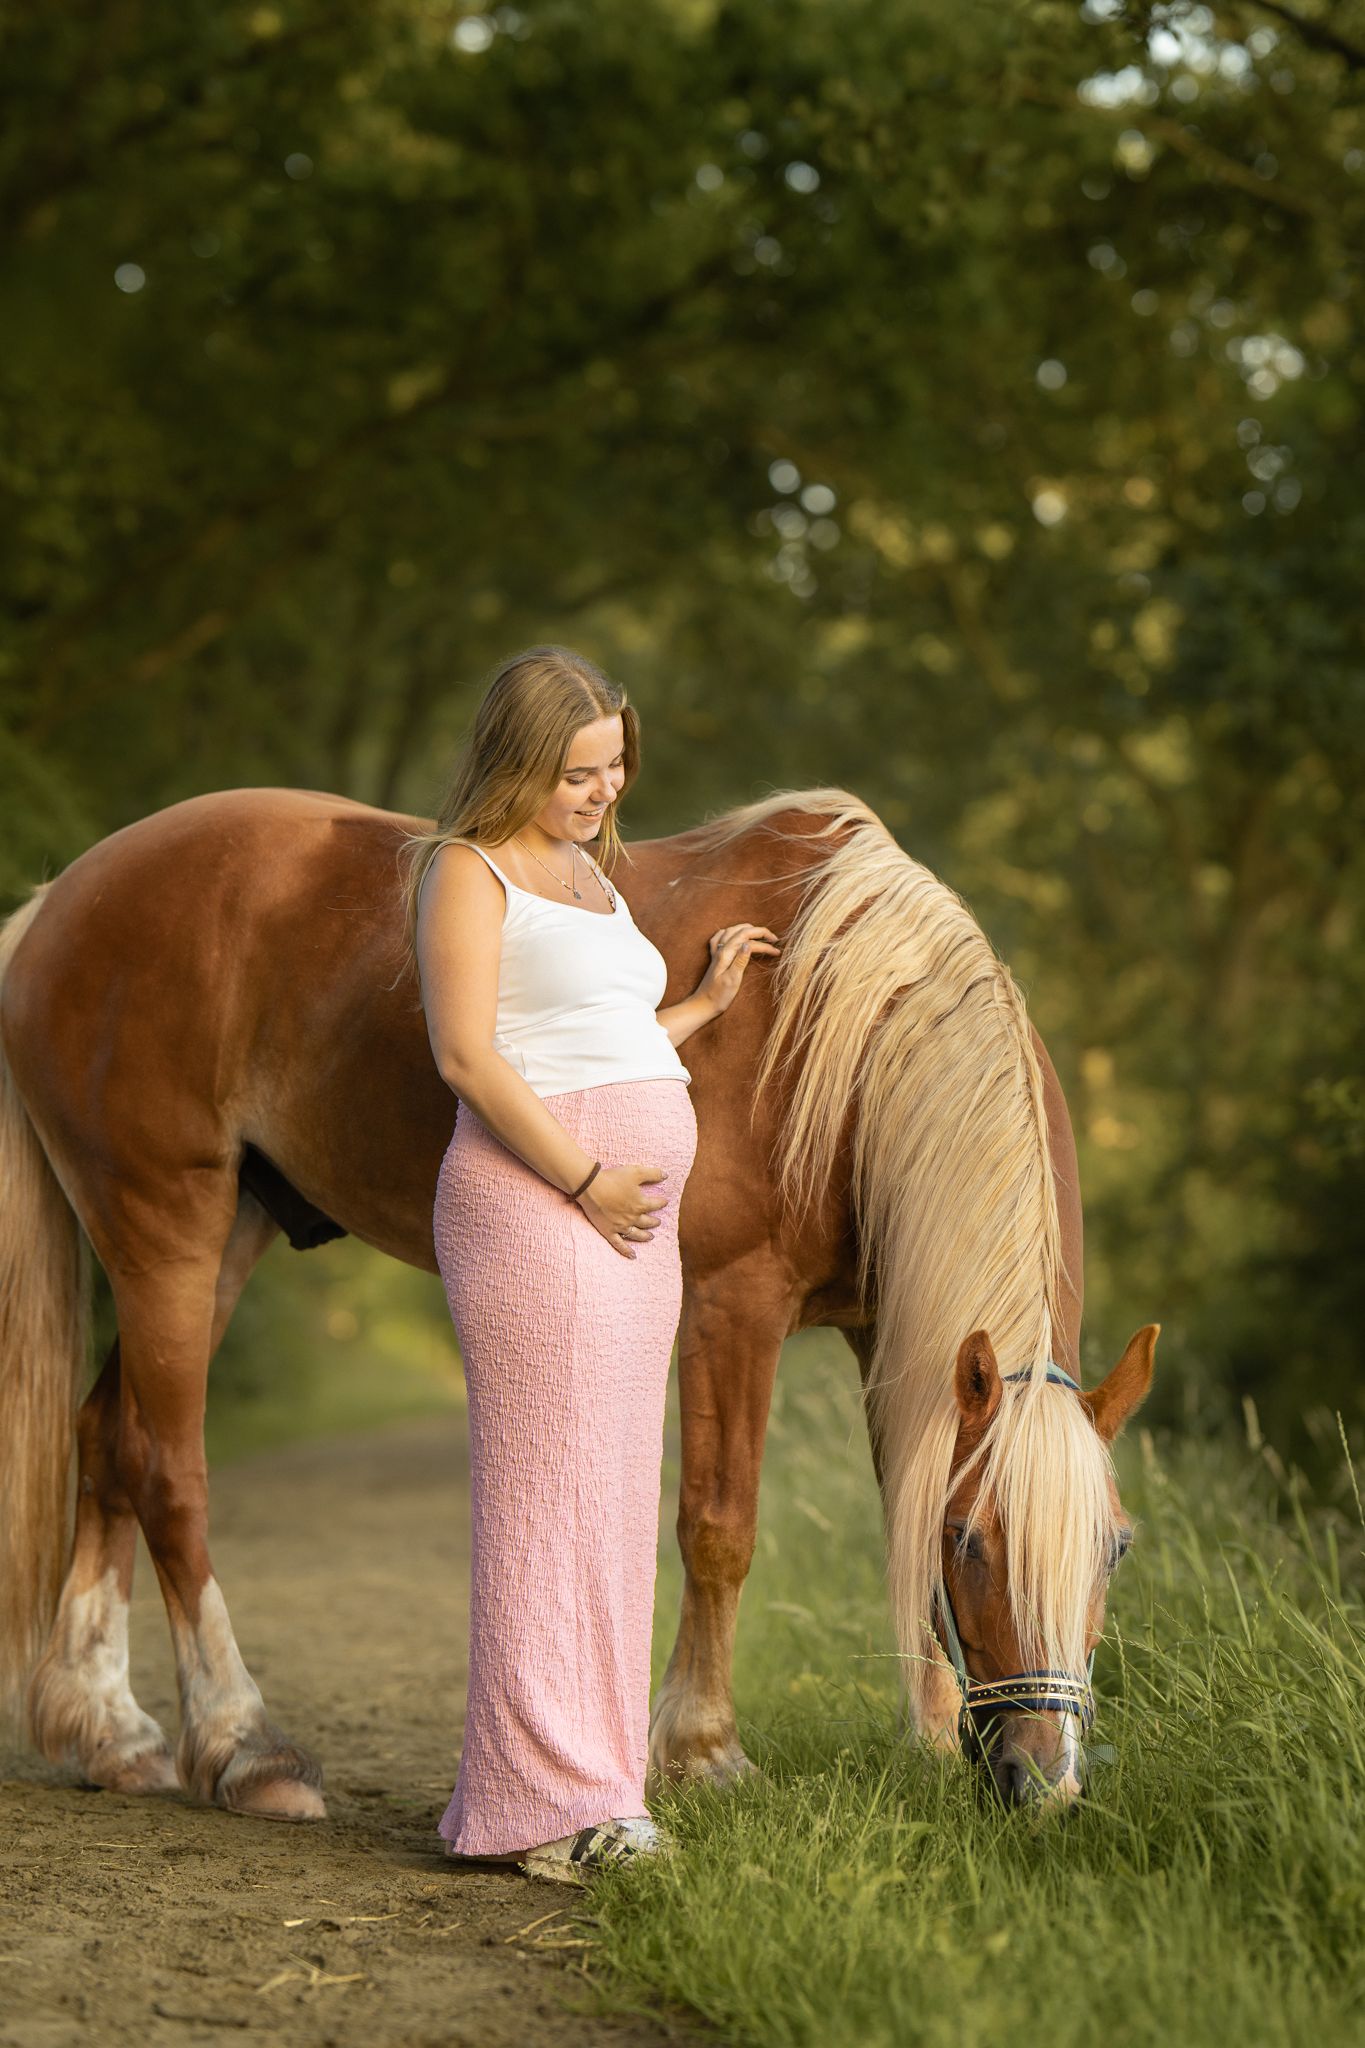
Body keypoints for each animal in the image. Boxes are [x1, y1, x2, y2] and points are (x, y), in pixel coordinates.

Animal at [0, 783, 1156, 1818]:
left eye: (1116, 1547)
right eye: (973, 1541)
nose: (1042, 1780)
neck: (844, 1027)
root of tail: (59, 901)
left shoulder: (893, 1338)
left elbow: (895, 1498)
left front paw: (923, 1736)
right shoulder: (733, 1306)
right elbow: (721, 1525)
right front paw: (702, 1751)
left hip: (225, 1232)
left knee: (108, 1438)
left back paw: (110, 1733)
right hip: (169, 1226)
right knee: (167, 1468)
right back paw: (245, 1746)